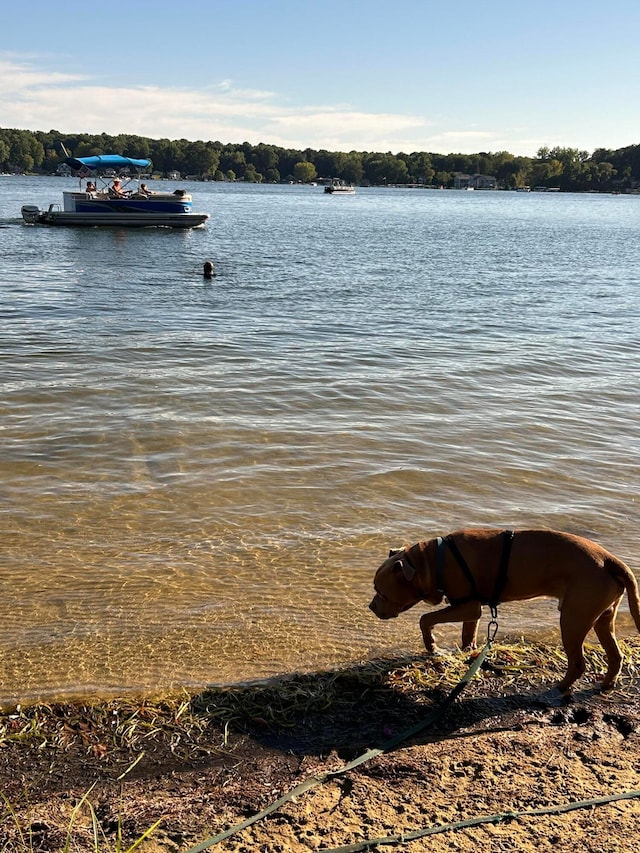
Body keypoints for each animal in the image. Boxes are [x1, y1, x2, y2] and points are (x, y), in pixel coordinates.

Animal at [370, 524, 640, 692]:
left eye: (381, 592)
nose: (371, 606)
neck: (434, 560)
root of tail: (610, 560)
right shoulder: (472, 611)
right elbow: (468, 635)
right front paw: (469, 653)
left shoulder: (467, 607)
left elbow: (425, 619)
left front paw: (432, 645)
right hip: (602, 618)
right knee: (615, 656)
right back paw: (605, 684)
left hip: (573, 619)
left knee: (577, 663)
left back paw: (559, 689)